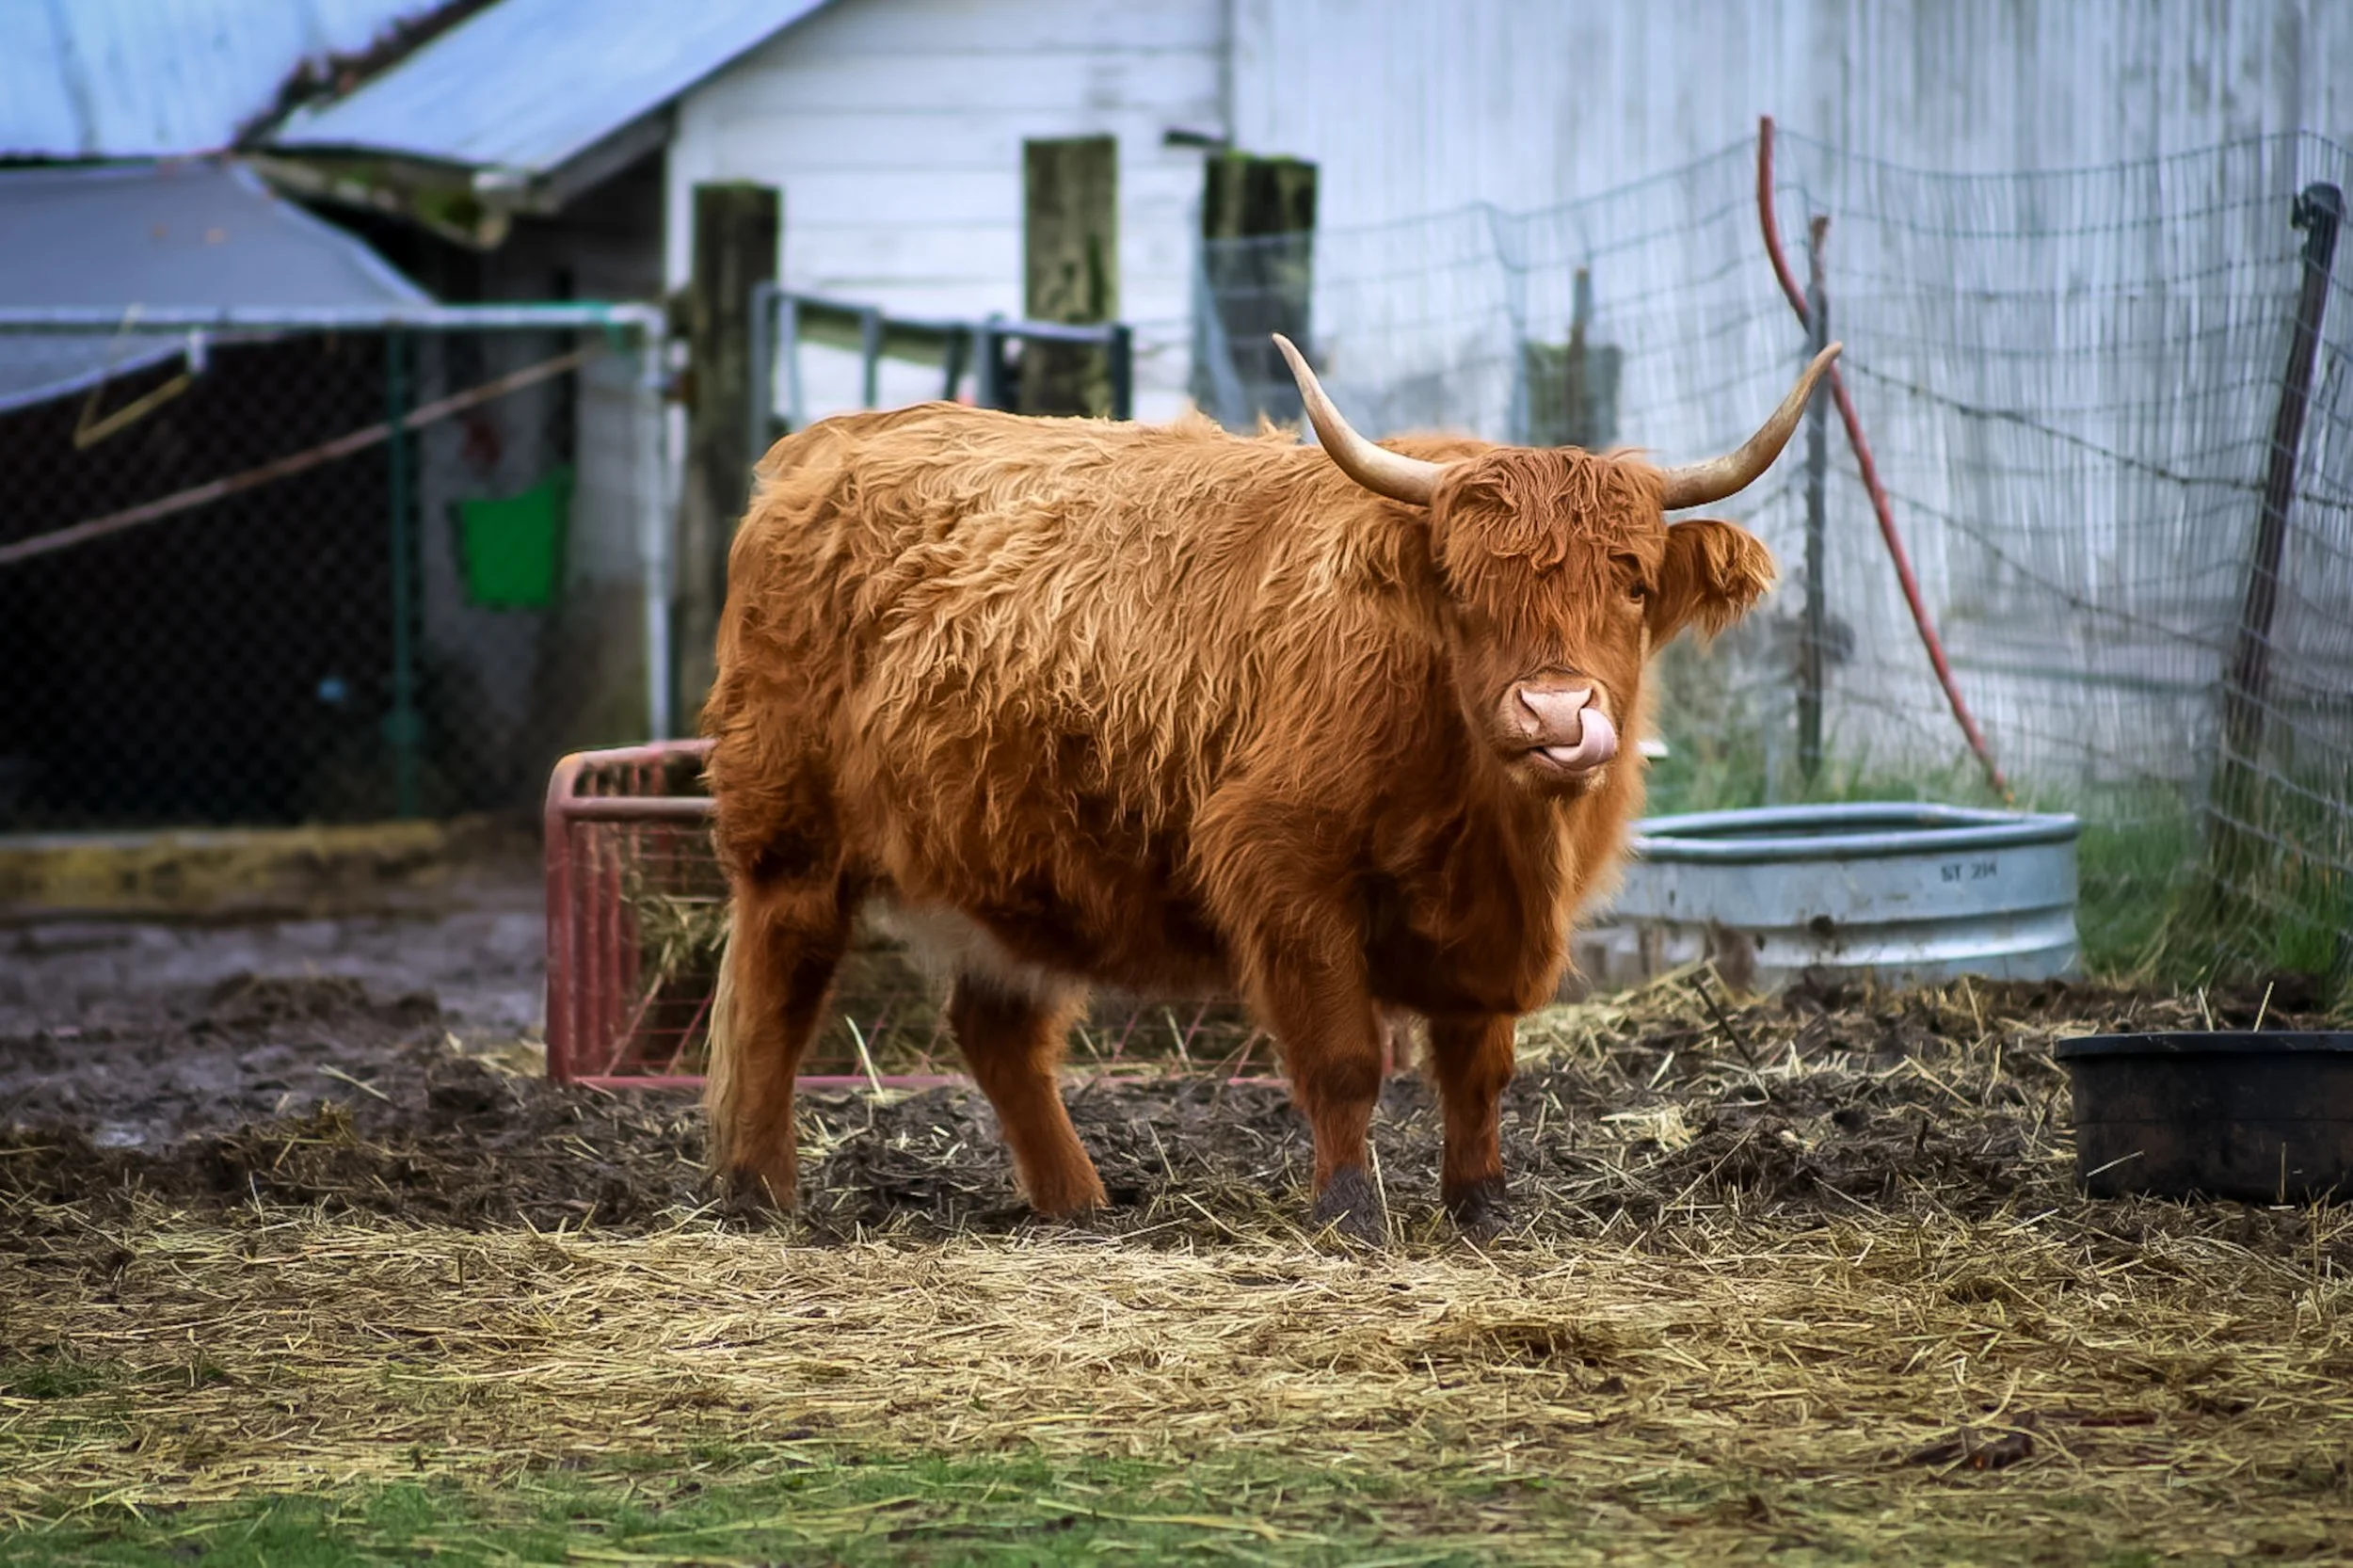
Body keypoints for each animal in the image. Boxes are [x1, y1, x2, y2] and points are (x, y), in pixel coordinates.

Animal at [701, 335, 1840, 1241]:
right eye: (1463, 589)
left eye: (1634, 584)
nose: (1555, 714)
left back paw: (1078, 1204)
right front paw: (1350, 1211)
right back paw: (762, 1195)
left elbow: (1478, 1064)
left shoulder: (1497, 930)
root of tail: (820, 451)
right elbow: (1343, 1058)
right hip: (790, 835)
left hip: (1011, 861)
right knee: (774, 993)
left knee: (997, 1030)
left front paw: (1483, 1205)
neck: (1488, 821)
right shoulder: (1286, 865)